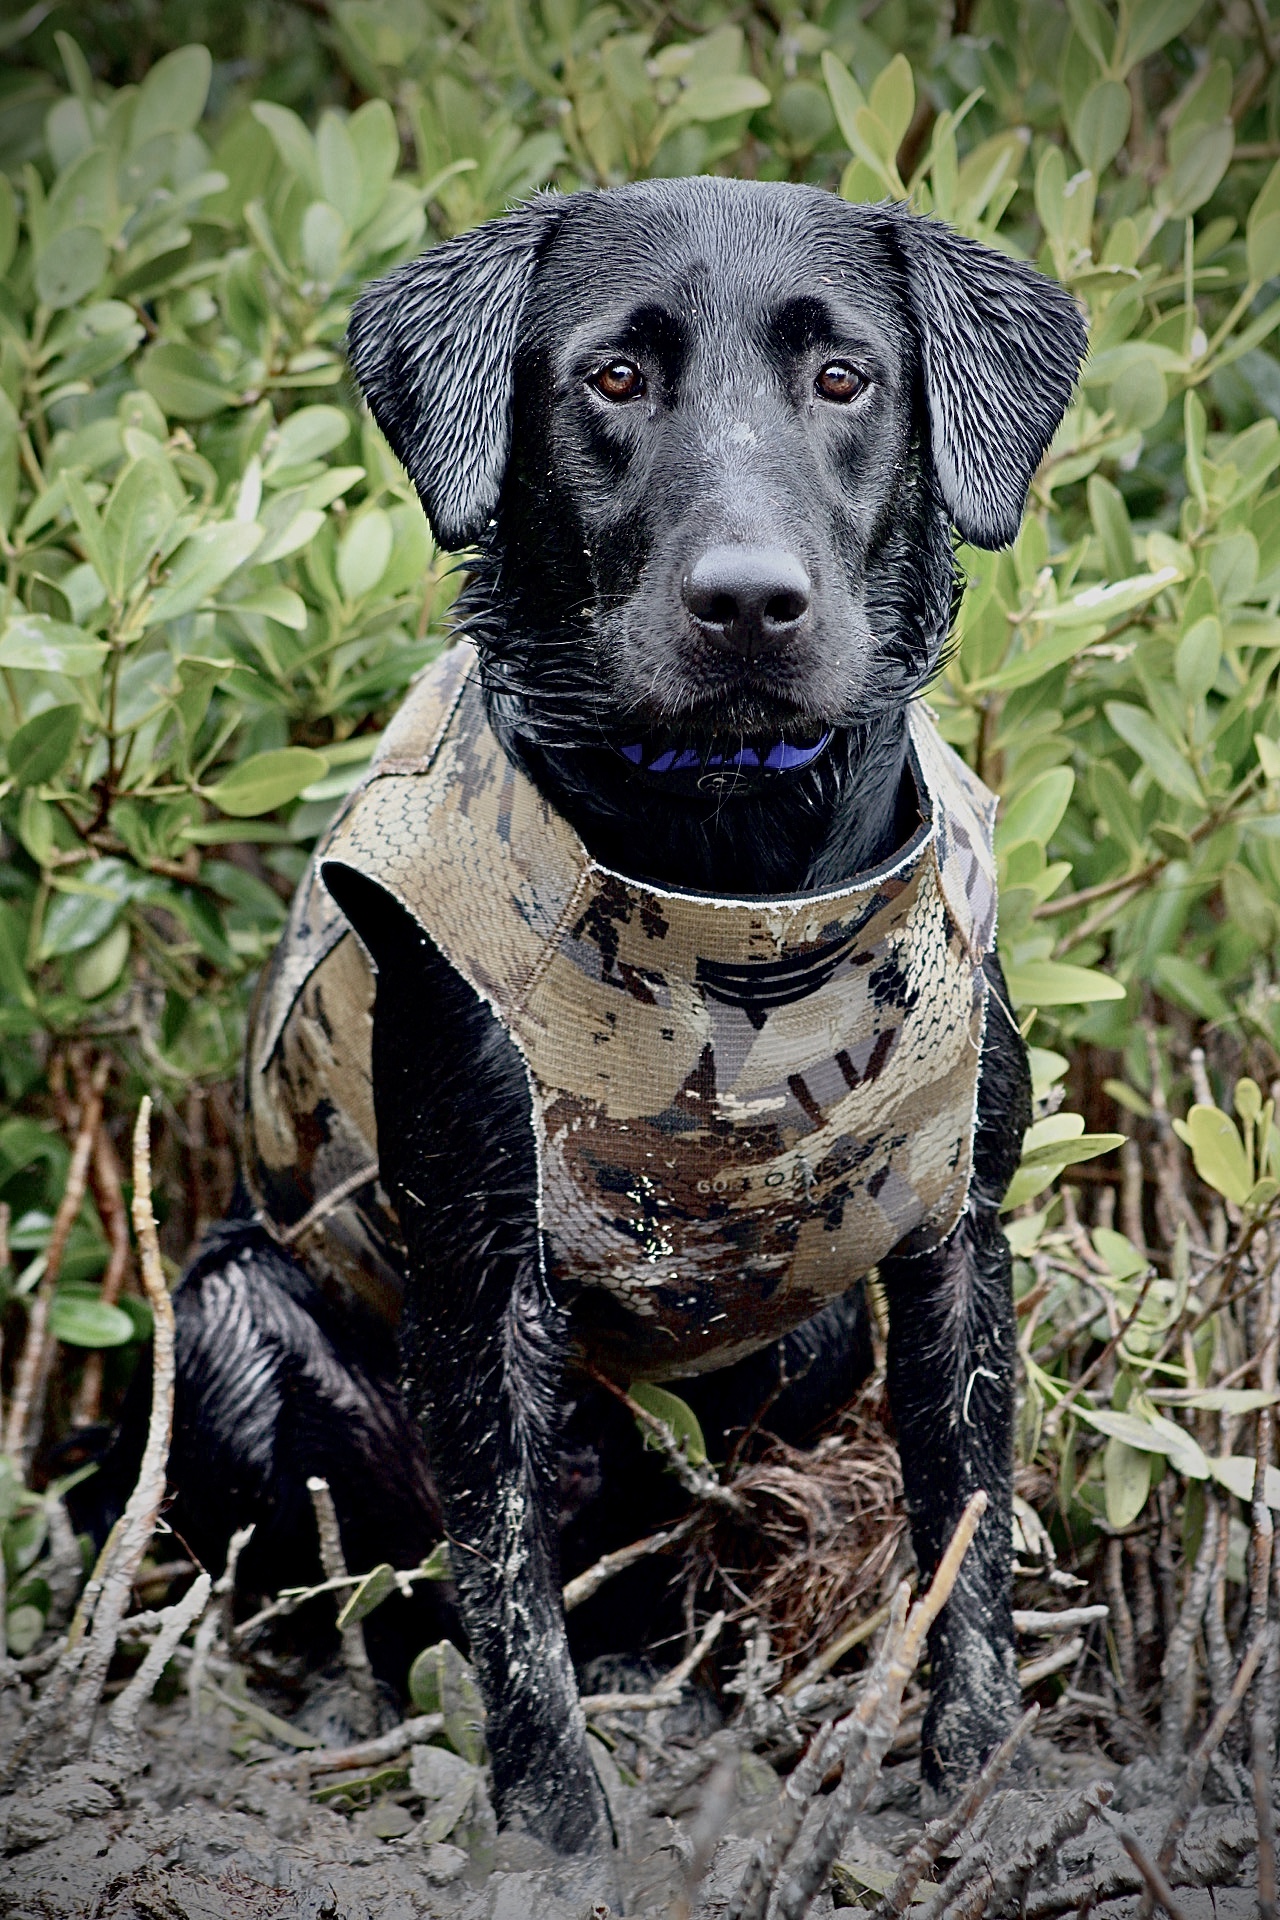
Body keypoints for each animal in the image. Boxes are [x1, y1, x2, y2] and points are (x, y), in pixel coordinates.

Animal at [107, 183, 1082, 1873]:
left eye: (845, 379)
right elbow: (502, 1575)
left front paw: (985, 1791)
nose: (749, 601)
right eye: (613, 381)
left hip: (811, 1338)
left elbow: (966, 1531)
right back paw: (346, 1704)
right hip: (229, 1314)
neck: (730, 858)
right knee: (361, 1588)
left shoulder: (958, 1233)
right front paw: (555, 1828)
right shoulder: (481, 1258)